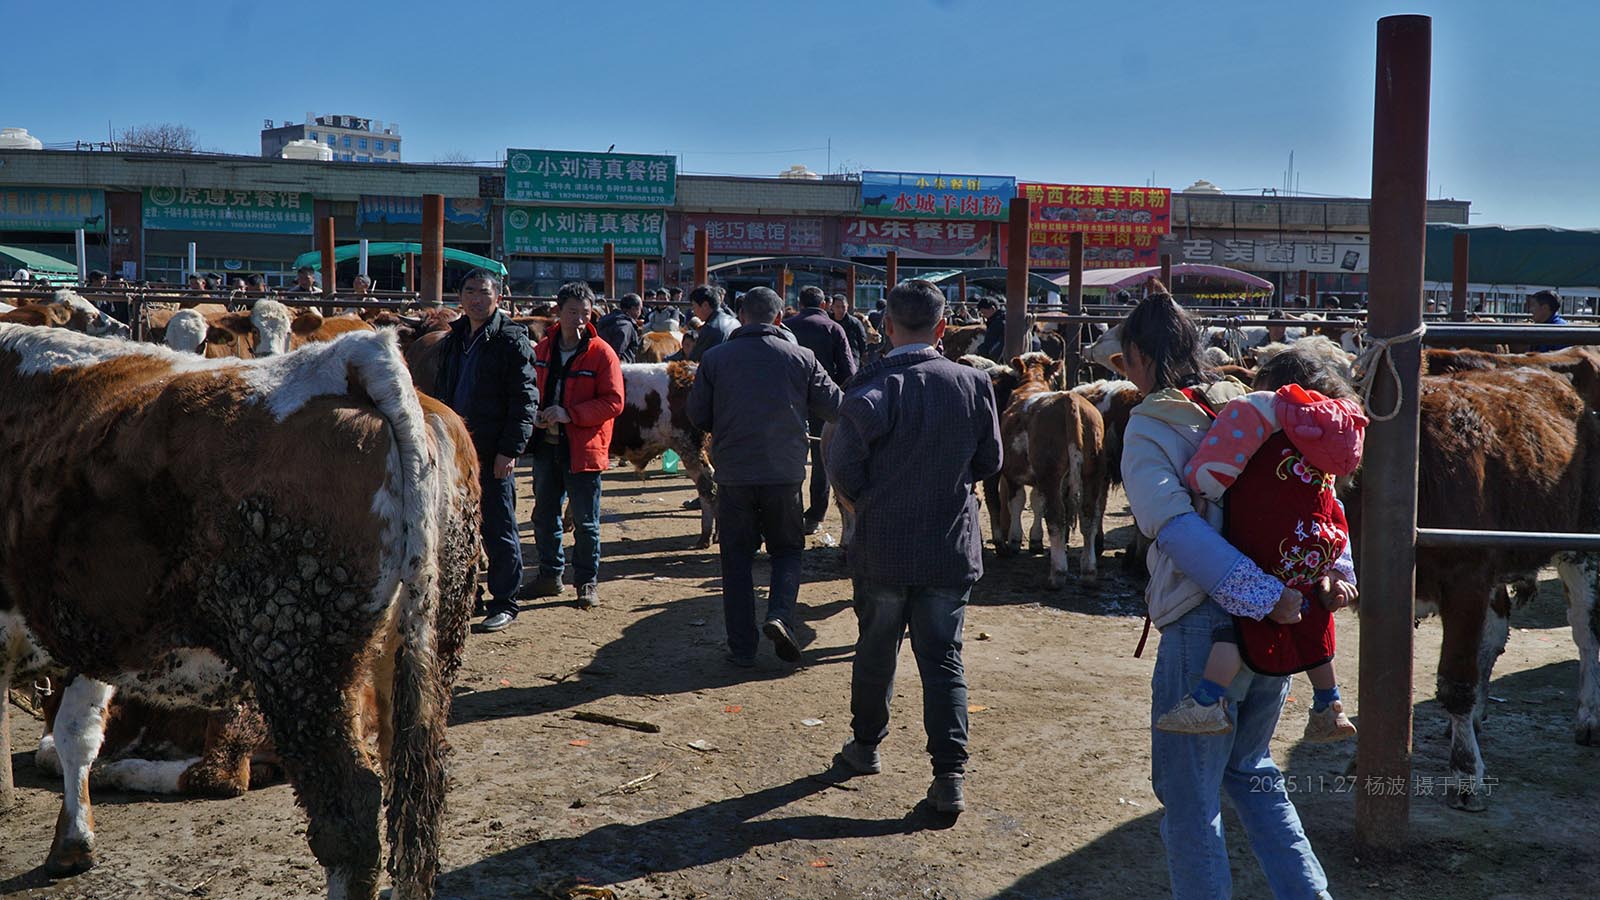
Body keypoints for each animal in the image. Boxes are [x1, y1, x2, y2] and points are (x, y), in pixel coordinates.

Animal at [0, 325, 481, 899]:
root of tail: (355, 355)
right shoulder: (93, 631)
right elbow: (78, 732)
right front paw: (74, 843)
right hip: (422, 651)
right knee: (411, 785)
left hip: (298, 664)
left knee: (346, 816)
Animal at [991, 352, 1109, 586]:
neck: (1032, 382)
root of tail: (1070, 401)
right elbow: (1036, 502)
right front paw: (1034, 540)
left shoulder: (1013, 474)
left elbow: (1017, 502)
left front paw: (1016, 539)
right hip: (1092, 474)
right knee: (1089, 516)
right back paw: (1089, 571)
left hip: (1051, 475)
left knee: (1056, 517)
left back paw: (1058, 573)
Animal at [1345, 350, 1600, 812]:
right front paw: (1365, 764)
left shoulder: (1466, 581)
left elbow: (1456, 681)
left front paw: (1466, 775)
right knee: (1495, 634)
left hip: (1581, 541)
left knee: (1586, 632)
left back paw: (1588, 715)